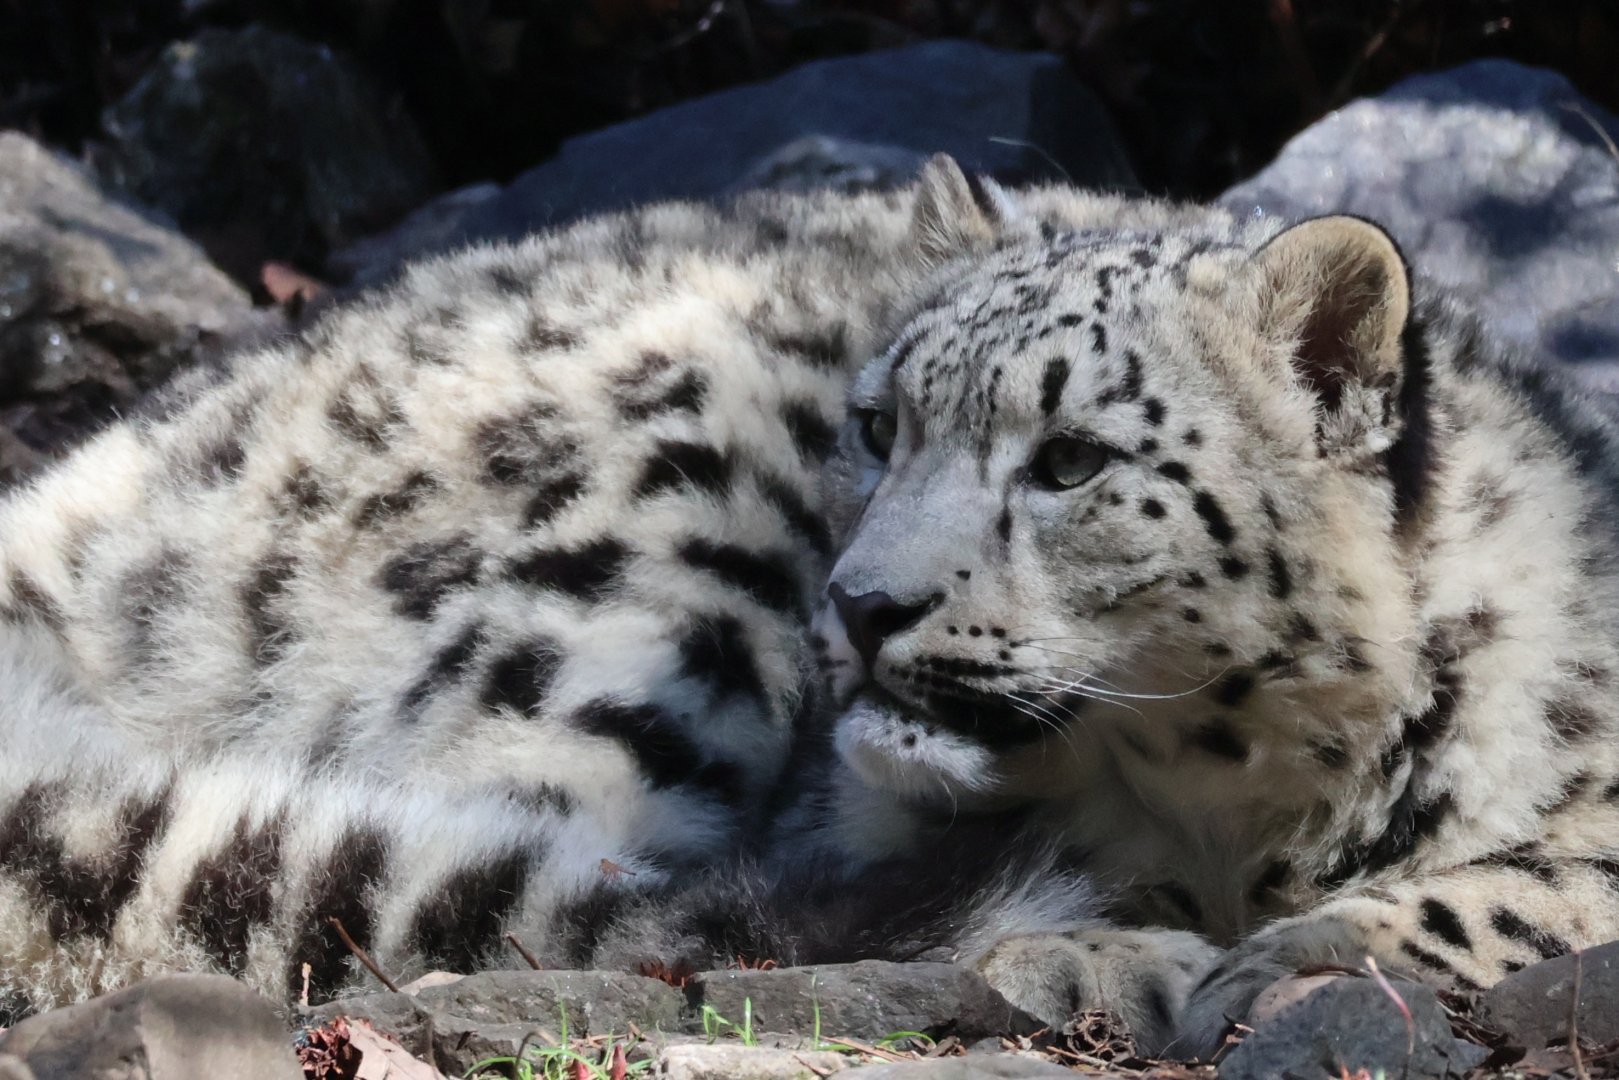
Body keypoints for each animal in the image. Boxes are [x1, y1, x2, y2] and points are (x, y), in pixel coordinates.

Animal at [802, 159, 1619, 1057]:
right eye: (880, 428)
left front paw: (1276, 964)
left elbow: (1535, 883)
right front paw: (1088, 956)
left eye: (1070, 459)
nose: (861, 605)